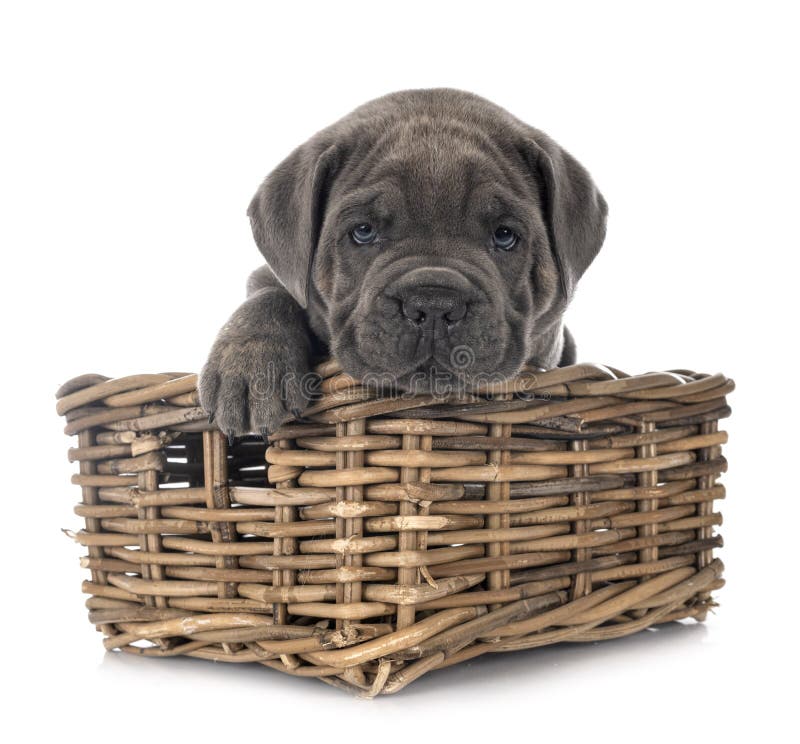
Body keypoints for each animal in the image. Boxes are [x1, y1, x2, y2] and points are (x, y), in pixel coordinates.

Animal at [200, 88, 608, 438]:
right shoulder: (268, 277)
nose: (433, 304)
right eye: (363, 231)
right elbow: (270, 297)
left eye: (504, 235)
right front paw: (251, 370)